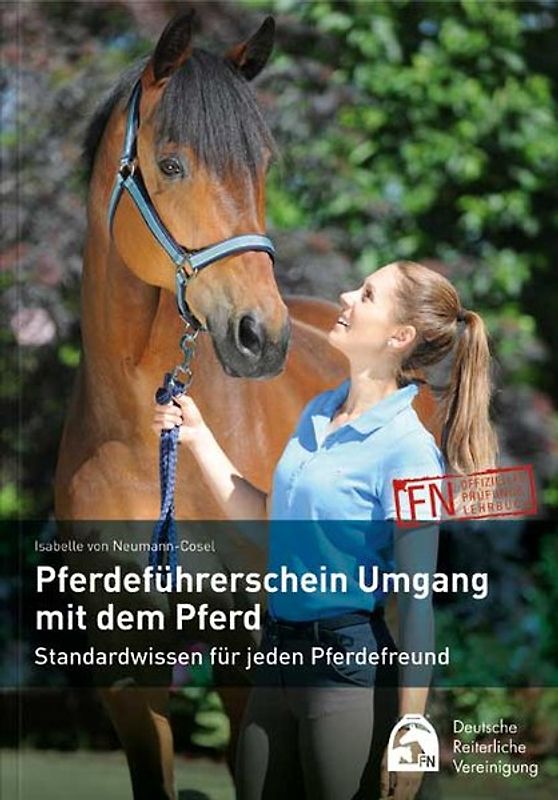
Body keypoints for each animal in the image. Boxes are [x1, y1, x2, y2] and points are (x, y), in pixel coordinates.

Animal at [54, 12, 436, 799]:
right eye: (171, 165)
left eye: (260, 167)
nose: (261, 336)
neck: (144, 452)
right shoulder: (124, 674)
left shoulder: (250, 654)